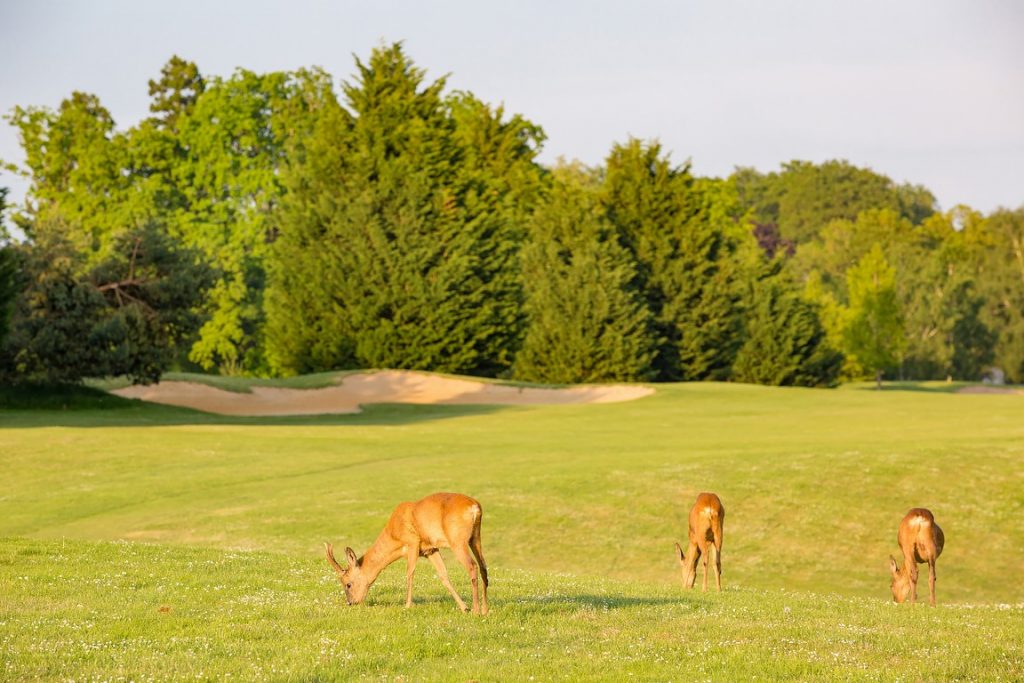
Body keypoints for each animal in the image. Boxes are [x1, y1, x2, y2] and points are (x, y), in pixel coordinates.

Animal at [325, 491, 489, 614]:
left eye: (348, 584)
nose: (351, 602)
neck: (393, 533)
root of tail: (474, 506)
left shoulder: (412, 542)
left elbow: (410, 573)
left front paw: (407, 605)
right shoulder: (430, 550)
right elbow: (443, 576)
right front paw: (464, 607)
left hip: (458, 541)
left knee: (472, 566)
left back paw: (476, 611)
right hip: (475, 538)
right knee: (483, 567)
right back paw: (485, 610)